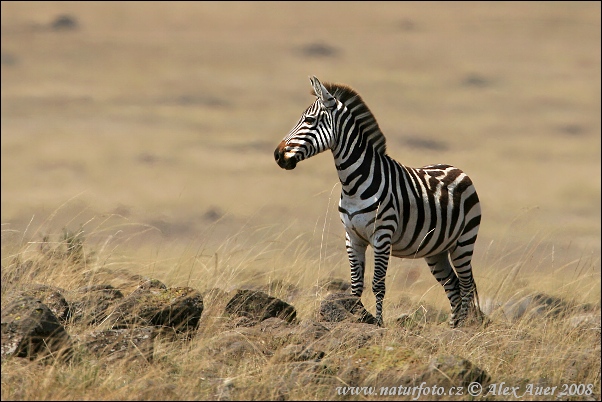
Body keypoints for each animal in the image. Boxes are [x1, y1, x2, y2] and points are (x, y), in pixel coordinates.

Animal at [274, 77, 480, 328]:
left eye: (310, 120)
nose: (277, 155)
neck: (353, 183)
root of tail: (455, 168)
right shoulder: (352, 237)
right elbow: (355, 285)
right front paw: (353, 319)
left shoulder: (382, 235)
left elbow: (378, 285)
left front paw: (379, 324)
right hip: (436, 250)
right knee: (453, 286)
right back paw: (452, 327)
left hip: (464, 241)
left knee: (466, 285)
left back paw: (463, 328)